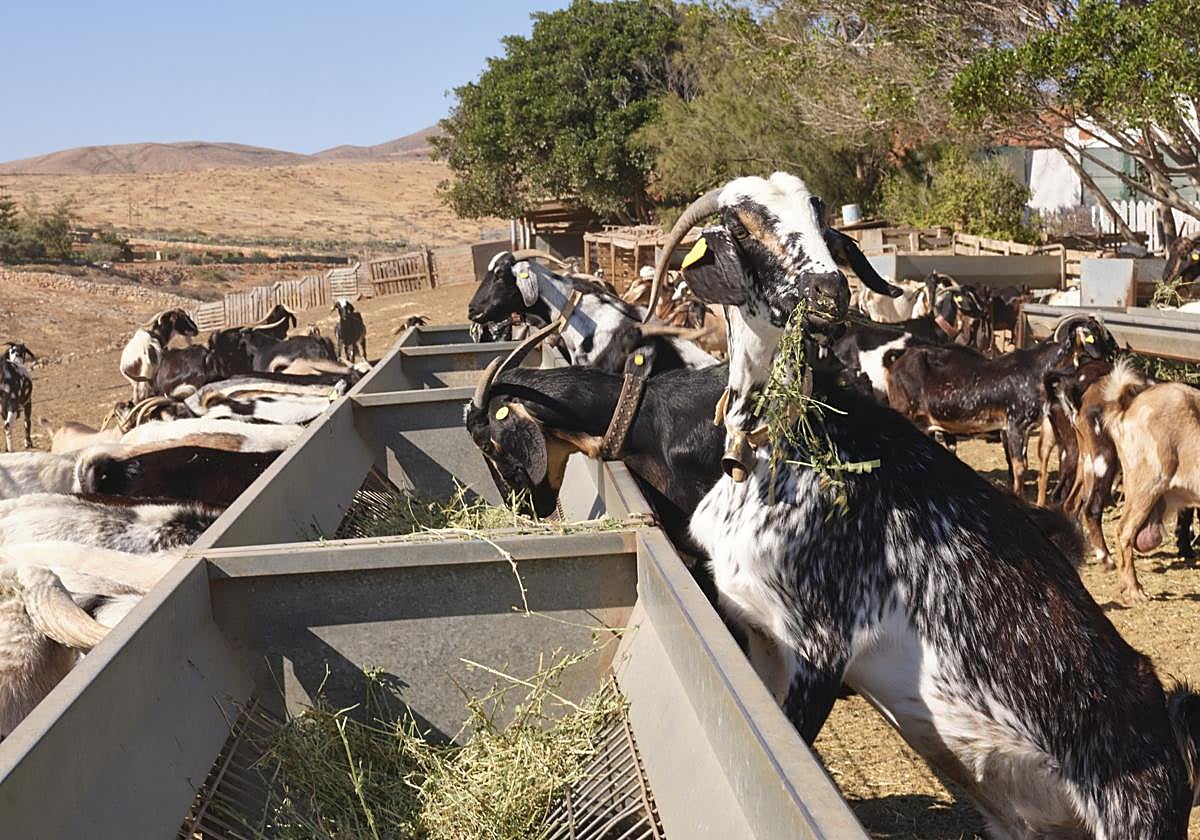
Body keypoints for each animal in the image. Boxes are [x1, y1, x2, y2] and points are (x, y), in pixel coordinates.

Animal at [884, 315, 1116, 495]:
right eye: (1096, 333)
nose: (1115, 351)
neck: (1038, 370)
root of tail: (896, 362)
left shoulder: (1021, 428)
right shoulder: (1014, 424)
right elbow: (1019, 467)